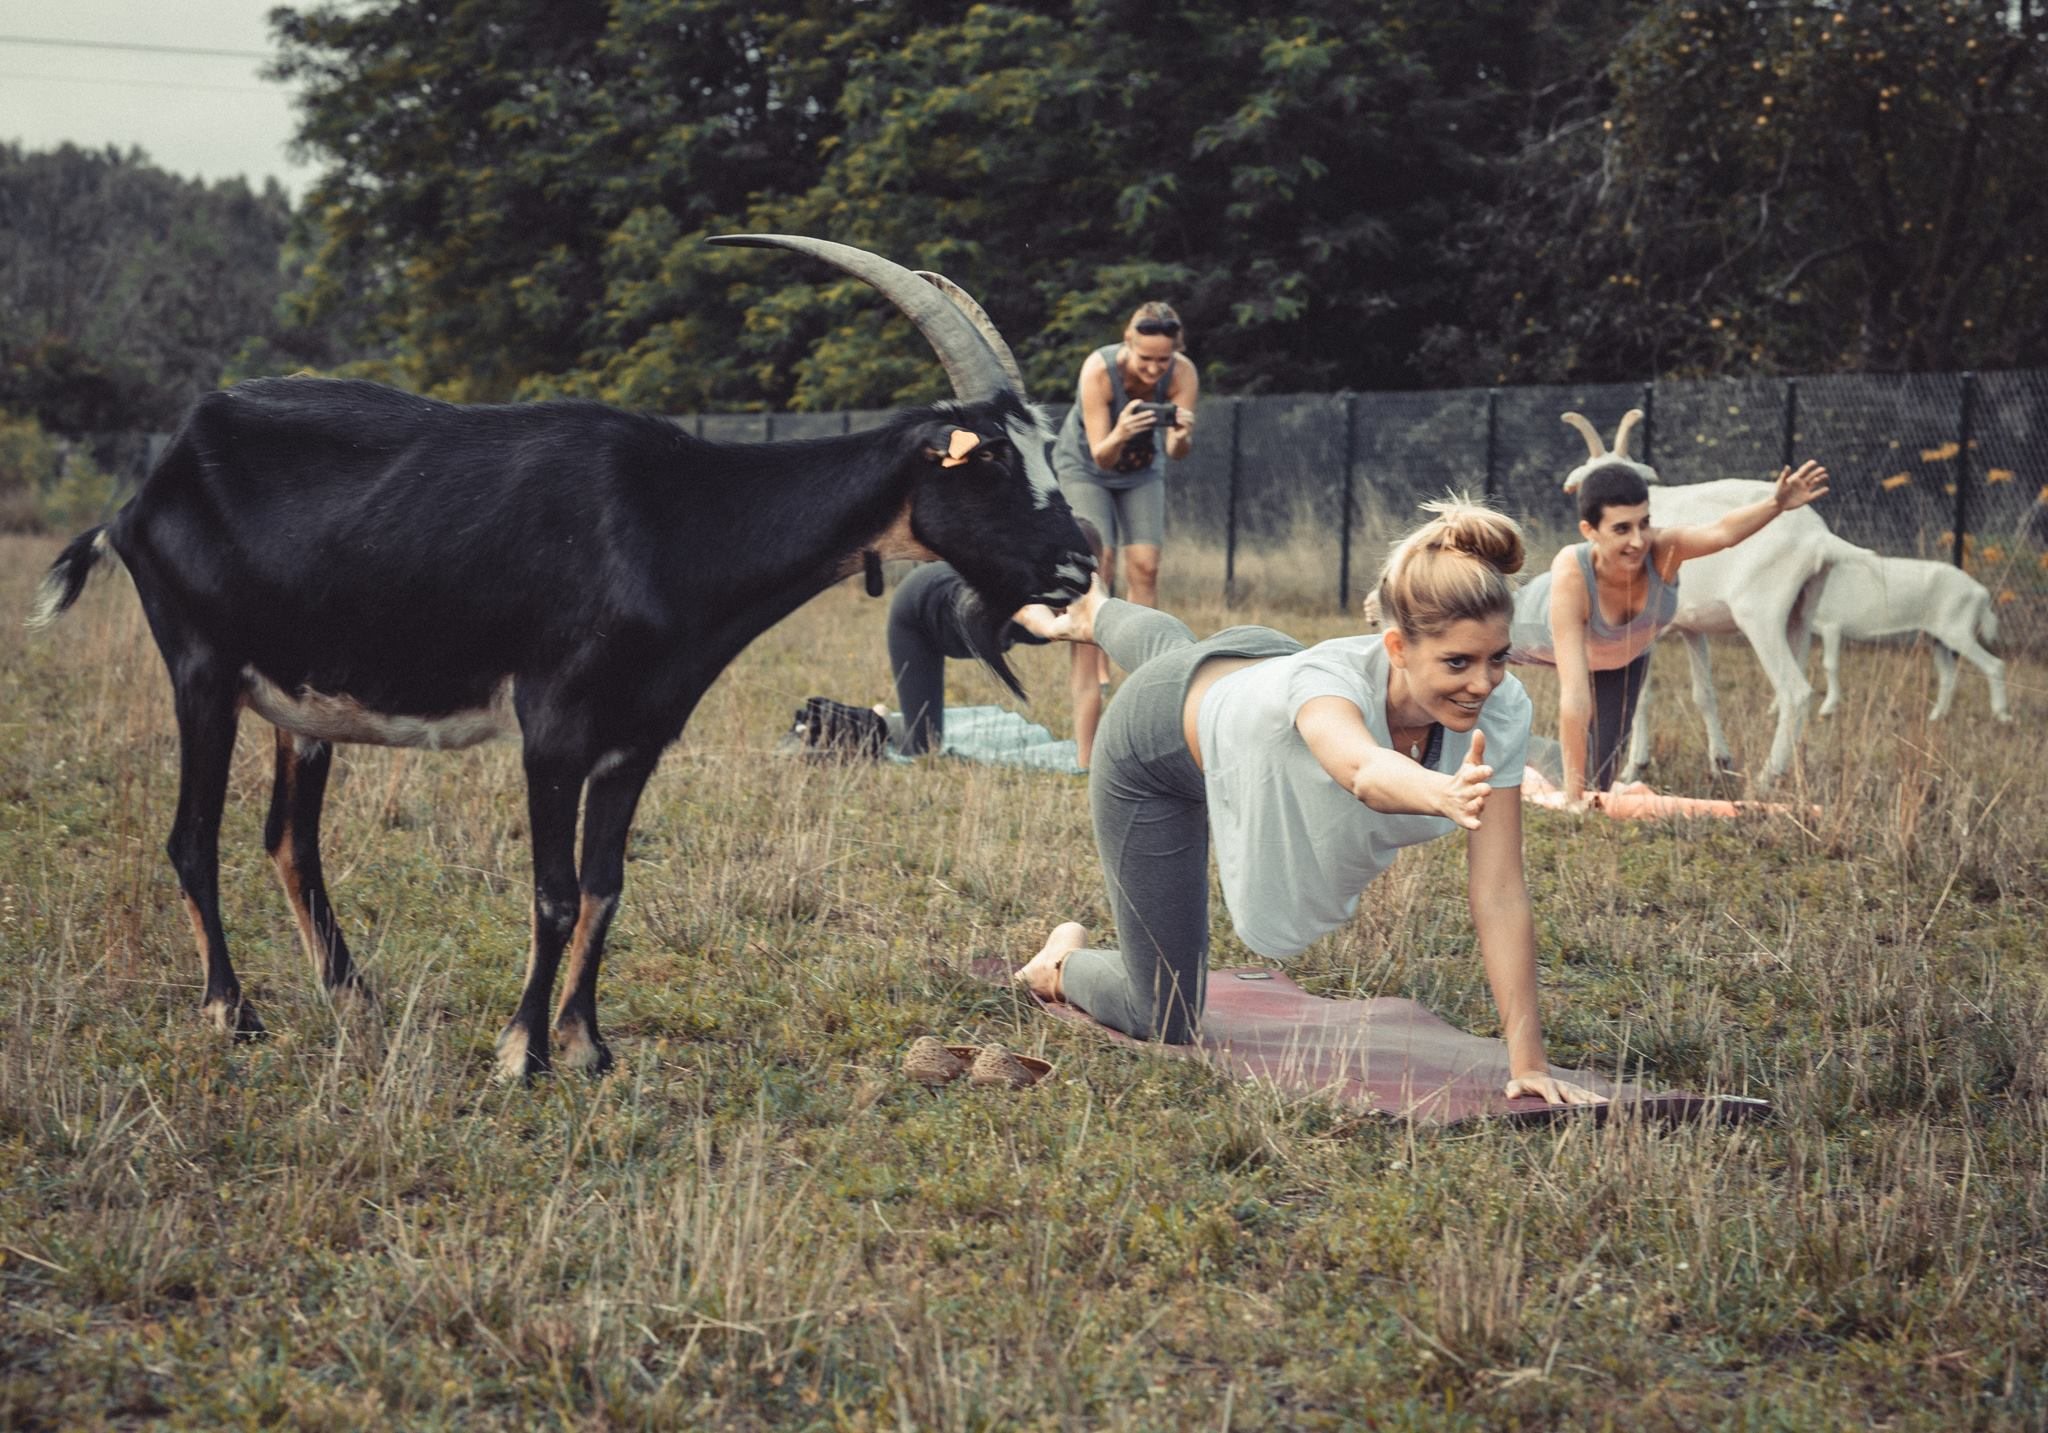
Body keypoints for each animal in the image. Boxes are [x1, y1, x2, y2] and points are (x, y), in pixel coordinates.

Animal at [32, 237, 1097, 1072]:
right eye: (988, 460)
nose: (1079, 561)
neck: (674, 520)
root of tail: (140, 496)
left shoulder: (636, 739)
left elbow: (604, 885)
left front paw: (588, 1046)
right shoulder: (553, 725)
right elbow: (549, 892)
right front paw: (524, 1052)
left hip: (303, 704)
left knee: (290, 842)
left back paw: (354, 999)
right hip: (200, 670)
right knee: (192, 838)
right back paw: (235, 1013)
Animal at [1556, 409, 1867, 790]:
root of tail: (1818, 537)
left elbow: (1640, 694)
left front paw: (1633, 768)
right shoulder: (1693, 628)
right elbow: (1704, 694)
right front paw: (1721, 761)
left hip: (1759, 617)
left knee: (1796, 692)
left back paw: (1765, 777)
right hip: (1801, 614)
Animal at [1818, 552, 2007, 728]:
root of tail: (1981, 593)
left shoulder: (1831, 626)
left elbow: (1829, 665)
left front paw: (1826, 709)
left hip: (1957, 633)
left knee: (1994, 665)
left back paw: (2002, 716)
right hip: (1938, 640)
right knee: (1948, 675)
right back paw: (1936, 717)